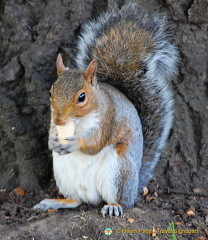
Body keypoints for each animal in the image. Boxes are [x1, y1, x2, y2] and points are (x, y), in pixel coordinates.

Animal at [33, 3, 179, 218]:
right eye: (51, 91)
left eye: (82, 97)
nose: (60, 121)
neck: (78, 122)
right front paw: (52, 141)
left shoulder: (108, 119)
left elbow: (95, 144)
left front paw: (75, 142)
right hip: (63, 173)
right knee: (76, 200)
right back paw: (55, 202)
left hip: (118, 171)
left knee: (120, 200)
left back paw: (113, 206)